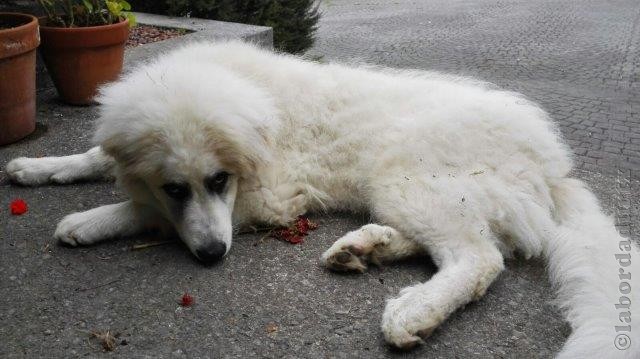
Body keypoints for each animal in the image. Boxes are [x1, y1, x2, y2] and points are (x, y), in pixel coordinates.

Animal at [6, 41, 640, 358]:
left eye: (219, 181)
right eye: (176, 186)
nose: (212, 257)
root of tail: (552, 166)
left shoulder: (268, 199)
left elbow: (141, 211)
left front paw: (86, 220)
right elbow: (102, 159)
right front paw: (38, 167)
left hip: (408, 178)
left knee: (480, 258)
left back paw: (414, 310)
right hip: (410, 194)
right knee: (454, 244)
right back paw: (366, 248)